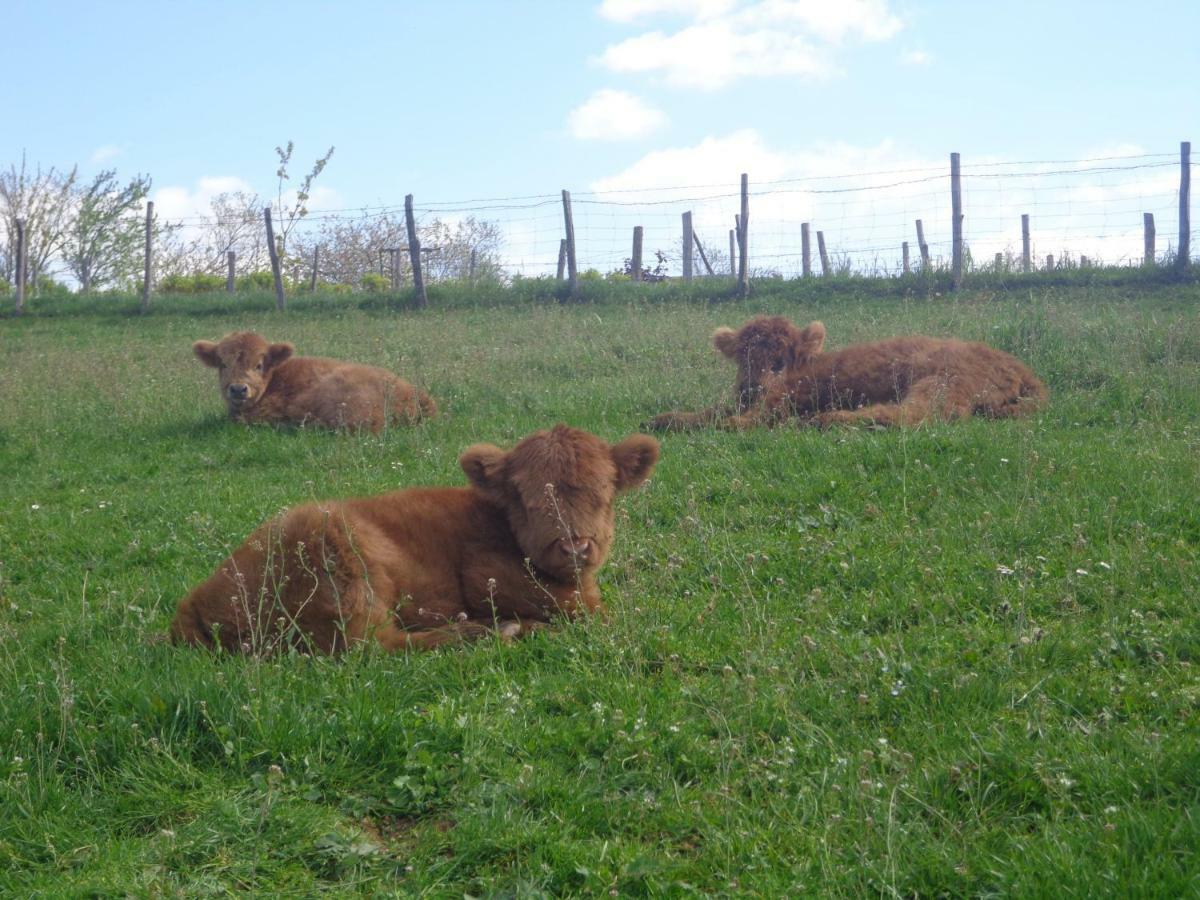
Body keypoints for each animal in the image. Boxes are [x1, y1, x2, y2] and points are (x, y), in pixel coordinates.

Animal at [170, 427, 662, 652]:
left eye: (605, 491)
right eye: (525, 498)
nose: (575, 546)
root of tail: (193, 602)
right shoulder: (488, 575)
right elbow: (587, 613)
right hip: (346, 570)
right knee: (372, 645)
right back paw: (481, 632)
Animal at [652, 314, 1046, 432]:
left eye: (779, 360)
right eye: (742, 358)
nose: (750, 388)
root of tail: (1023, 369)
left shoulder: (773, 407)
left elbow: (731, 422)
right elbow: (708, 411)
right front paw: (663, 418)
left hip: (941, 383)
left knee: (911, 415)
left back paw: (827, 419)